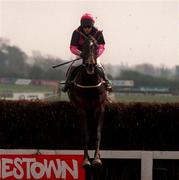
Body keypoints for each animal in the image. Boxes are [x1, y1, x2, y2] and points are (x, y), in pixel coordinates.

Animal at [67, 37, 108, 167]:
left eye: (96, 47)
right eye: (83, 47)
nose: (90, 65)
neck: (90, 83)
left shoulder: (100, 108)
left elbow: (98, 134)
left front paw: (97, 159)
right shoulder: (82, 109)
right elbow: (85, 135)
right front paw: (86, 160)